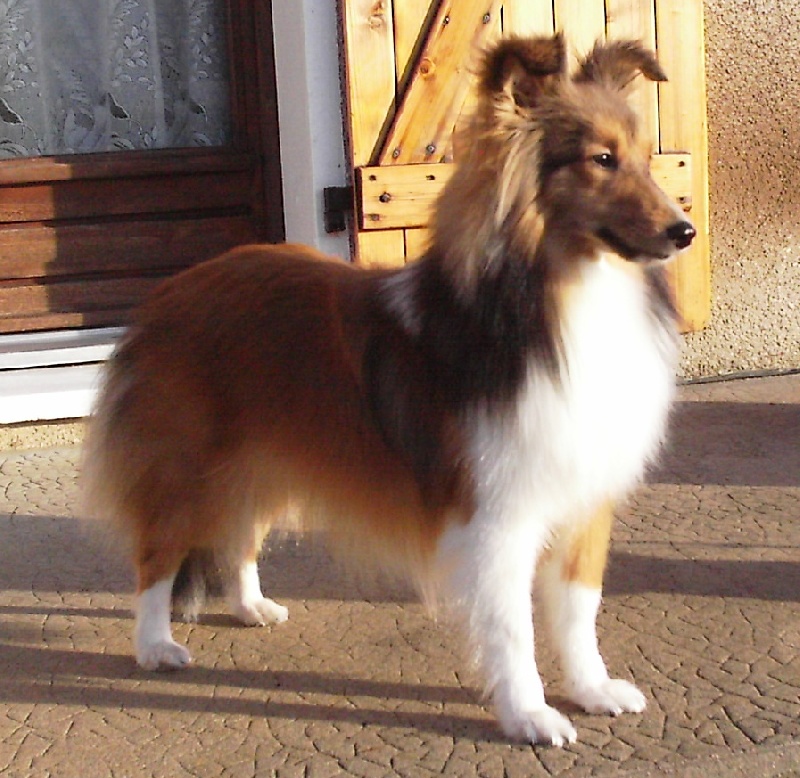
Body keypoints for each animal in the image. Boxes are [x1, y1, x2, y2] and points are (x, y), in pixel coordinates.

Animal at [83, 36, 692, 744]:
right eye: (601, 159)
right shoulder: (497, 514)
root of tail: (167, 293)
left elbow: (577, 612)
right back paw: (154, 646)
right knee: (156, 557)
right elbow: (512, 627)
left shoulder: (582, 498)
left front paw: (594, 690)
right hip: (184, 468)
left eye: (646, 157)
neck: (563, 297)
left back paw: (252, 605)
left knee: (237, 537)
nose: (684, 231)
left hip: (260, 462)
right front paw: (530, 715)